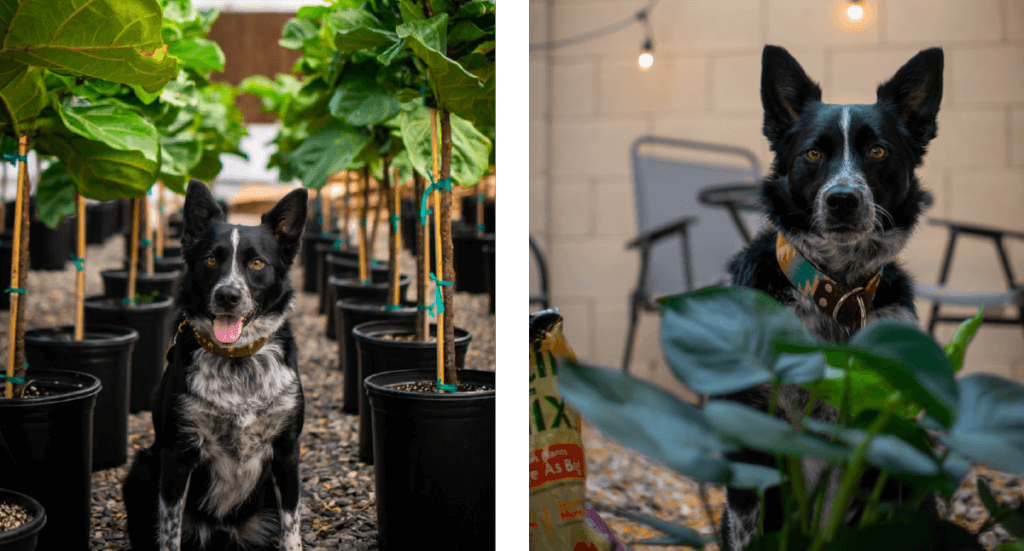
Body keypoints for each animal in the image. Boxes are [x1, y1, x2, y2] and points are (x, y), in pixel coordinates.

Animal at [124, 178, 307, 544]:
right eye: (210, 260)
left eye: (257, 263)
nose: (227, 296)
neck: (237, 361)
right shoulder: (177, 455)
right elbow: (169, 532)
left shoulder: (287, 451)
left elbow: (291, 526)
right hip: (141, 469)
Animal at [712, 45, 942, 544]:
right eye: (814, 152)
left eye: (877, 150)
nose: (842, 200)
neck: (839, 294)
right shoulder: (754, 435)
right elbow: (754, 525)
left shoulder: (886, 437)